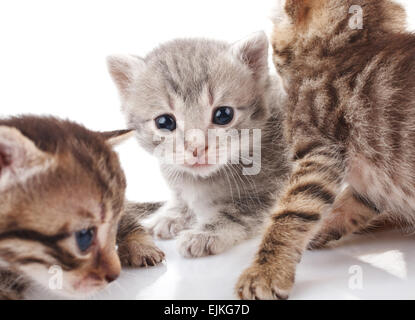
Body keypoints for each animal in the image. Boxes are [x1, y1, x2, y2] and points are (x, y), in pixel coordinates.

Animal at [107, 32, 290, 258]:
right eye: (164, 122)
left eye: (223, 115)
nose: (196, 147)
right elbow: (182, 198)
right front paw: (173, 214)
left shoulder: (271, 189)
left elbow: (237, 213)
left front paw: (205, 234)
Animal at [237, 0, 415, 300]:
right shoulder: (372, 182)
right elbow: (349, 203)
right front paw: (322, 229)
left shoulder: (319, 152)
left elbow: (293, 209)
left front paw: (266, 270)